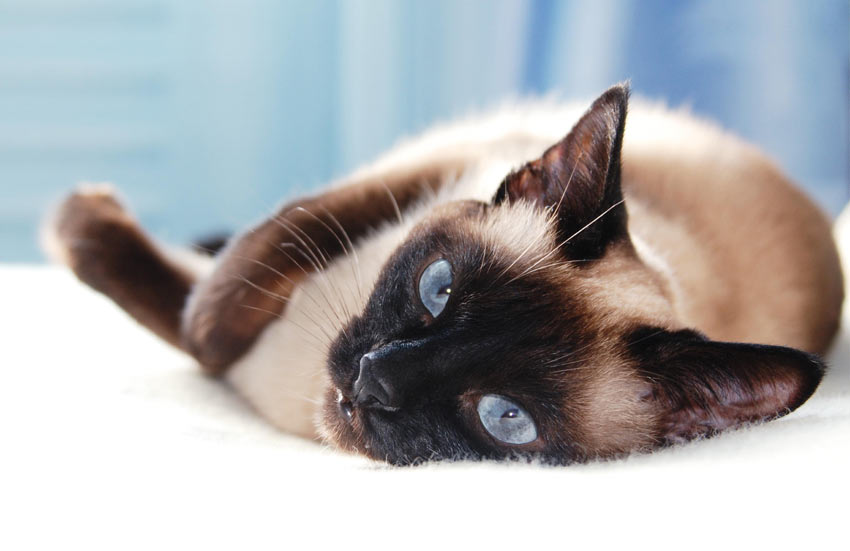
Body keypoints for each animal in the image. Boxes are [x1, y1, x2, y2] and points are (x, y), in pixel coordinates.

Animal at [48, 84, 840, 466]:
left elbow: (175, 311)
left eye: (504, 417)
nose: (371, 380)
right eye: (438, 288)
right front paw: (208, 312)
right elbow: (266, 247)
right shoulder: (428, 168)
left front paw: (85, 226)